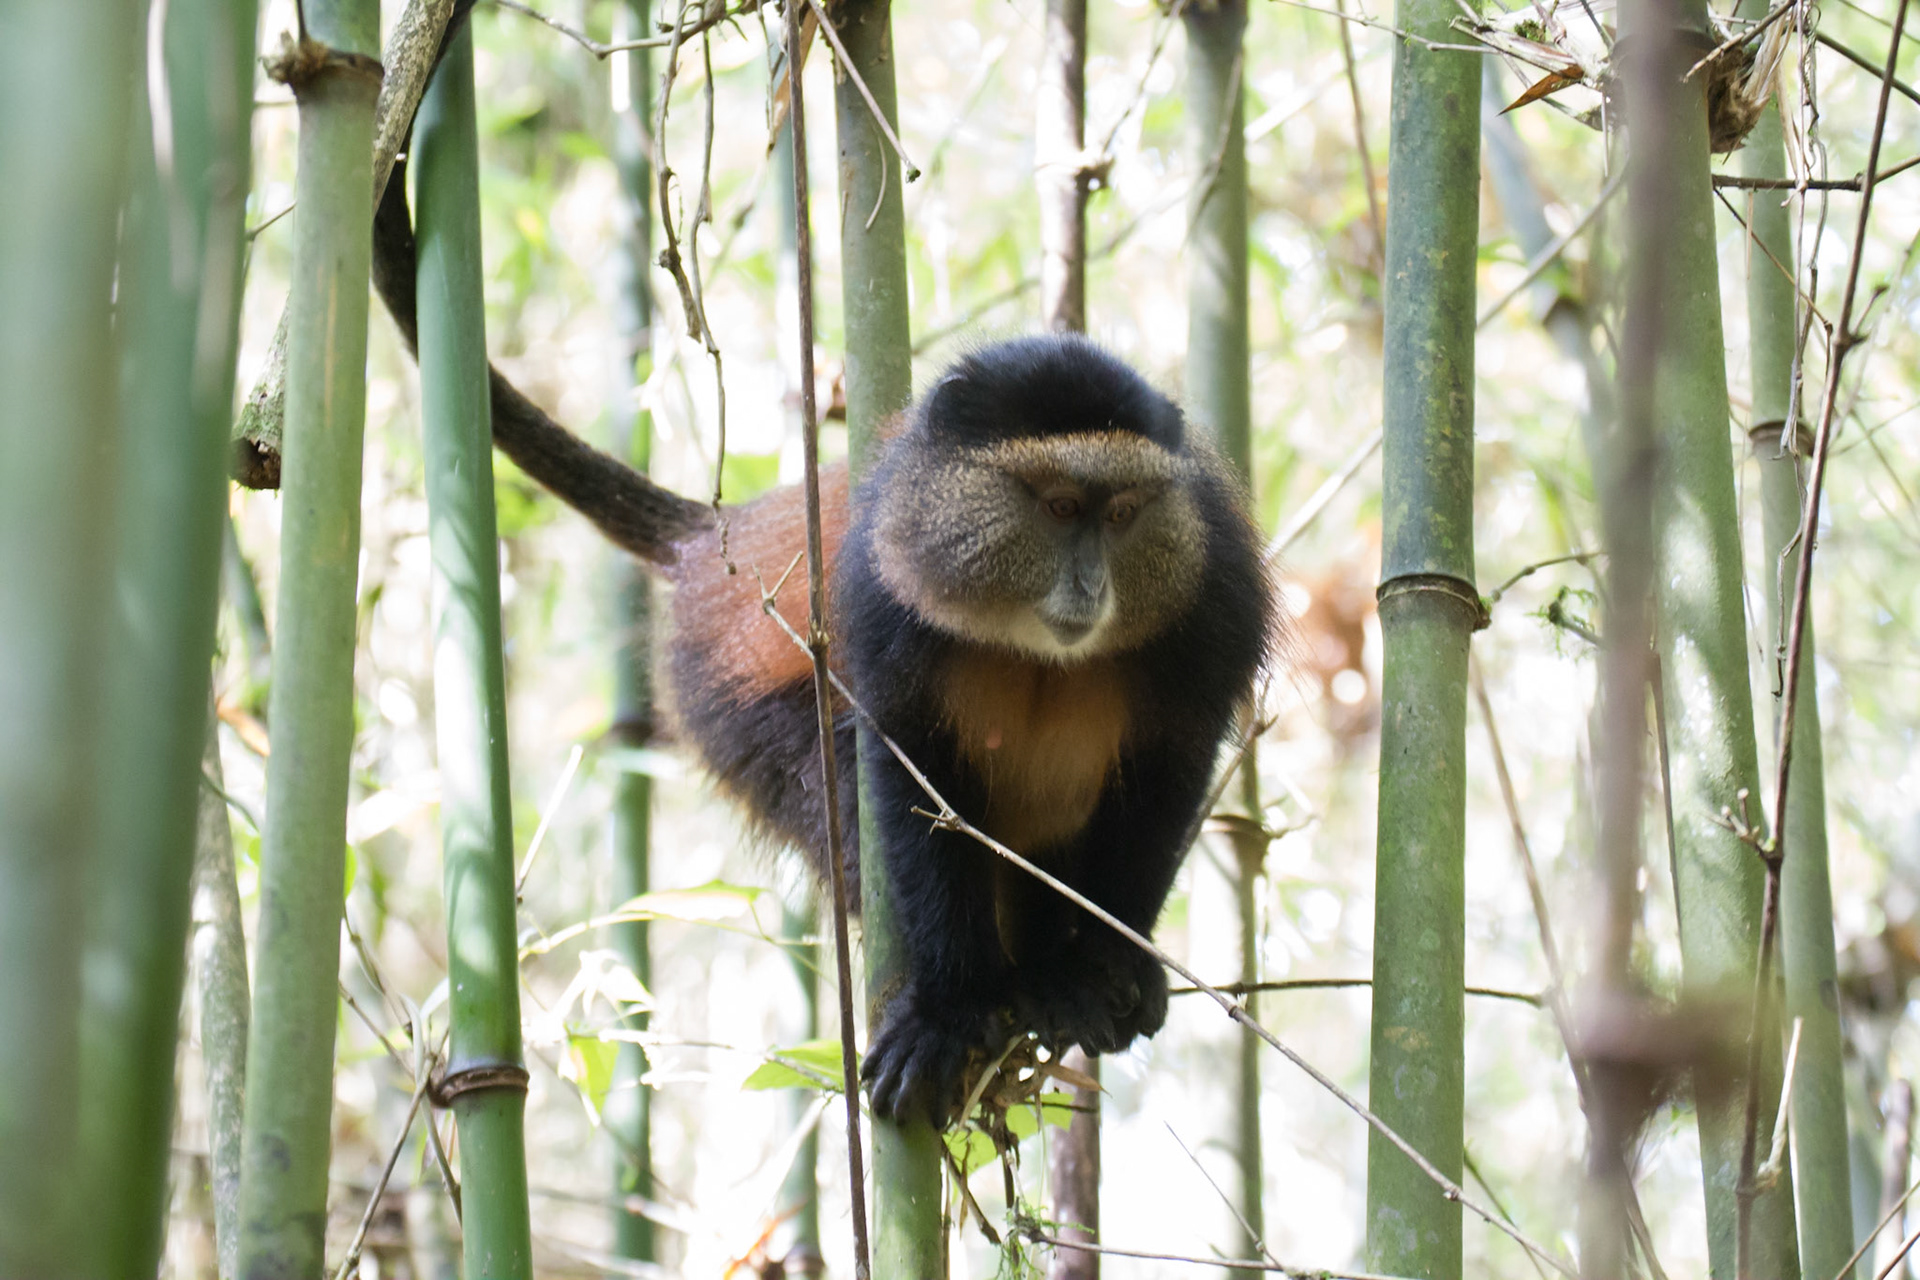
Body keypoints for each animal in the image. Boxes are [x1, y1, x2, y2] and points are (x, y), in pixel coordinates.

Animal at [370, 154, 1275, 1126]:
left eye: (1123, 513)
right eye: (1062, 508)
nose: (1092, 586)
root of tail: (713, 544)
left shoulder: (1215, 598)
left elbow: (1168, 772)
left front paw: (1102, 966)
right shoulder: (879, 591)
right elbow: (903, 773)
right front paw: (949, 1010)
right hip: (726, 705)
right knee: (831, 778)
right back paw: (1011, 987)